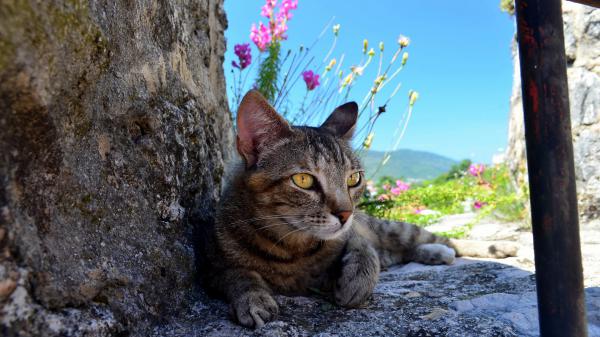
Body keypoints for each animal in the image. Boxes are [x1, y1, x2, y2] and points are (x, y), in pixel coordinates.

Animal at [203, 90, 520, 328]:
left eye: (353, 179)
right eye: (303, 180)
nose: (345, 214)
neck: (291, 248)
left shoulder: (354, 232)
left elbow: (362, 247)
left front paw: (356, 280)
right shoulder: (213, 266)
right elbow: (240, 274)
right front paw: (254, 299)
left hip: (395, 228)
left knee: (439, 239)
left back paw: (496, 247)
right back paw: (435, 254)